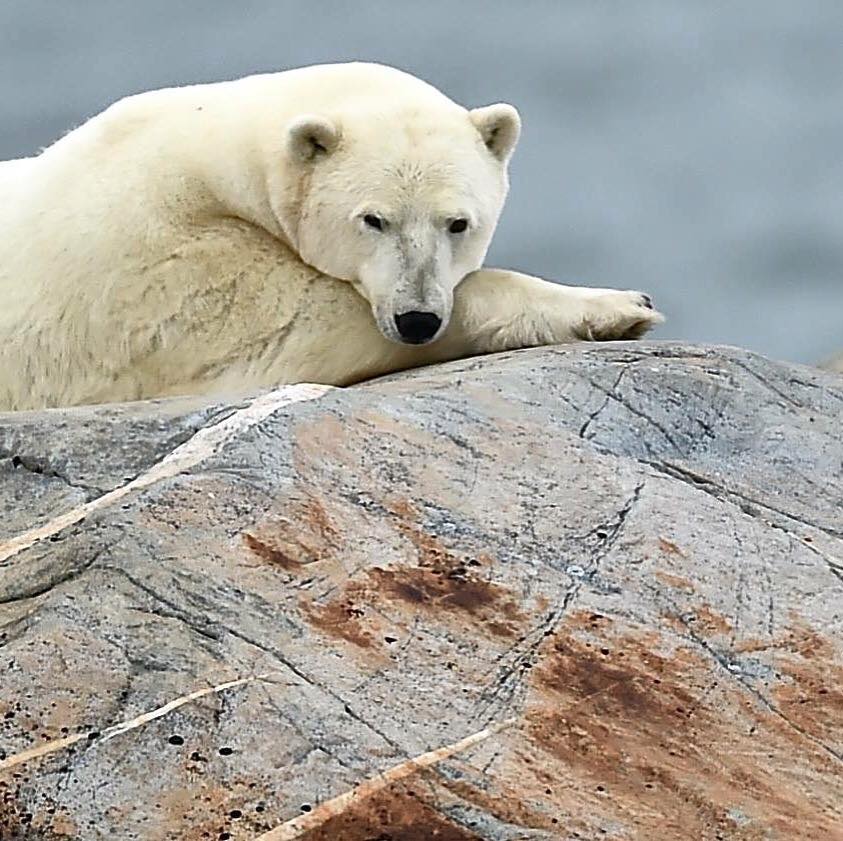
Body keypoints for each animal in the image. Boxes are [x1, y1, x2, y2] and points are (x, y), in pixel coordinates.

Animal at [0, 62, 662, 412]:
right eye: (374, 219)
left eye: (458, 223)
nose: (417, 319)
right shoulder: (161, 274)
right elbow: (298, 327)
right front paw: (616, 306)